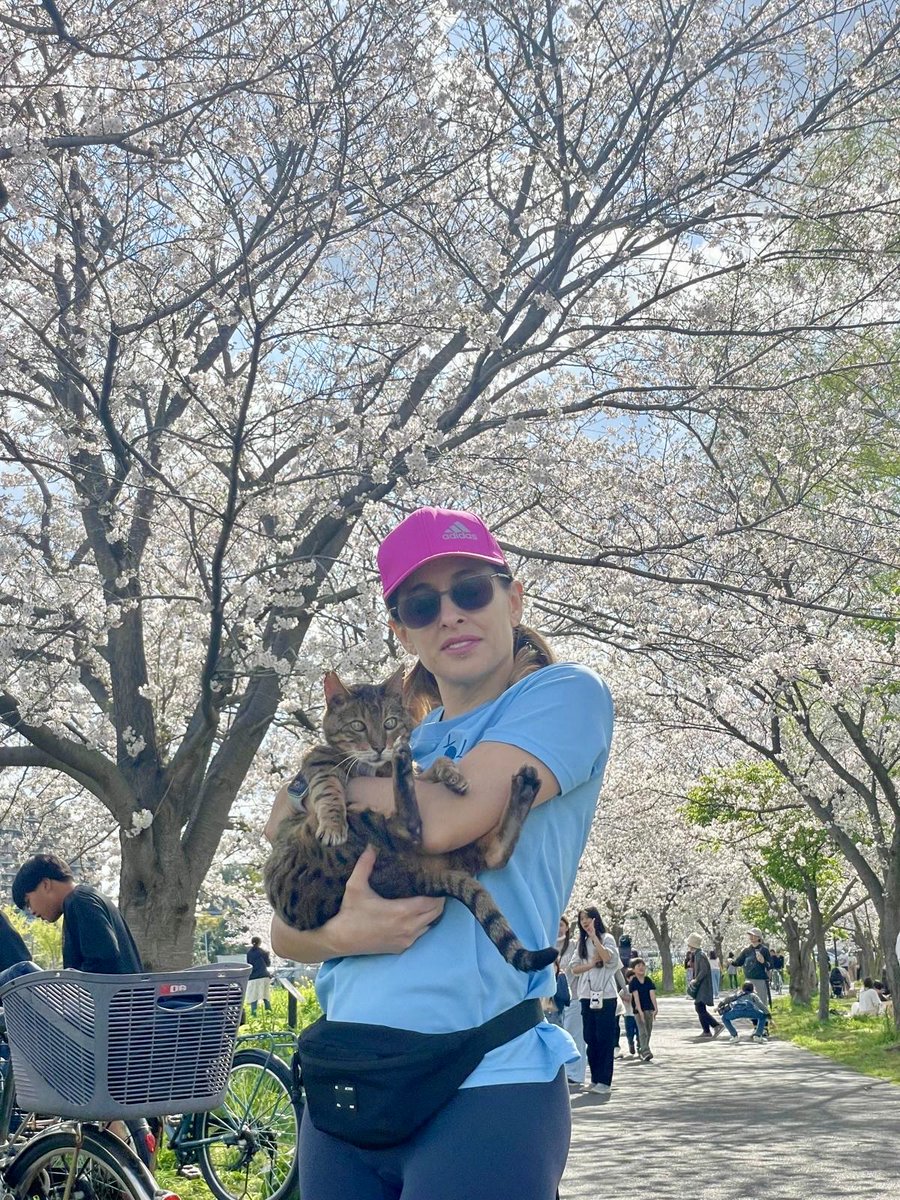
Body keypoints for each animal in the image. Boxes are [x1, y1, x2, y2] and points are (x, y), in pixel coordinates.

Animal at [264, 672, 556, 969]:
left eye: (389, 723)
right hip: (358, 827)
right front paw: (334, 825)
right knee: (414, 828)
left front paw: (452, 774)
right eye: (357, 726)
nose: (380, 747)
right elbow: (328, 789)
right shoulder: (318, 760)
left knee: (489, 854)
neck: (375, 768)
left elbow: (432, 768)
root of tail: (412, 877)